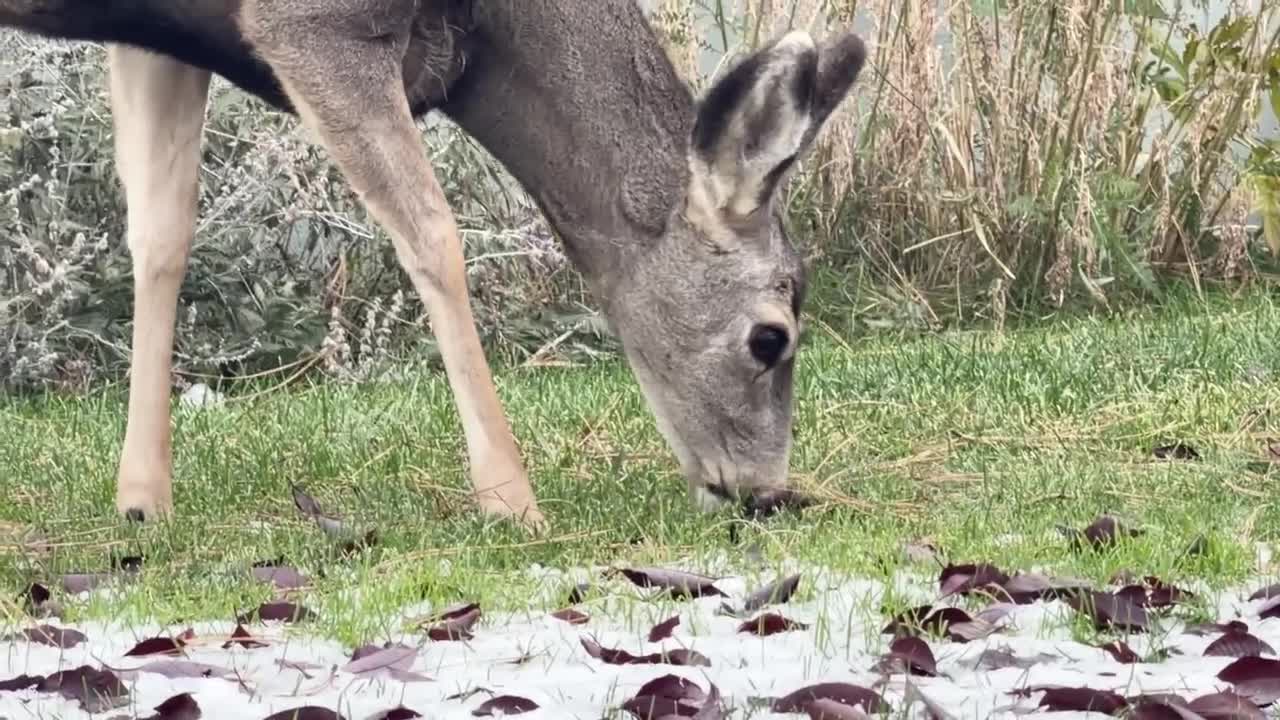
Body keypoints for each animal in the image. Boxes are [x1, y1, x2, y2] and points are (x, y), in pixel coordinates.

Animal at [0, 0, 867, 530]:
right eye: (770, 337)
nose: (764, 493)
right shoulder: (312, 25)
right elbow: (434, 235)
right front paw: (511, 498)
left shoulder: (156, 34)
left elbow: (160, 231)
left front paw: (143, 499)